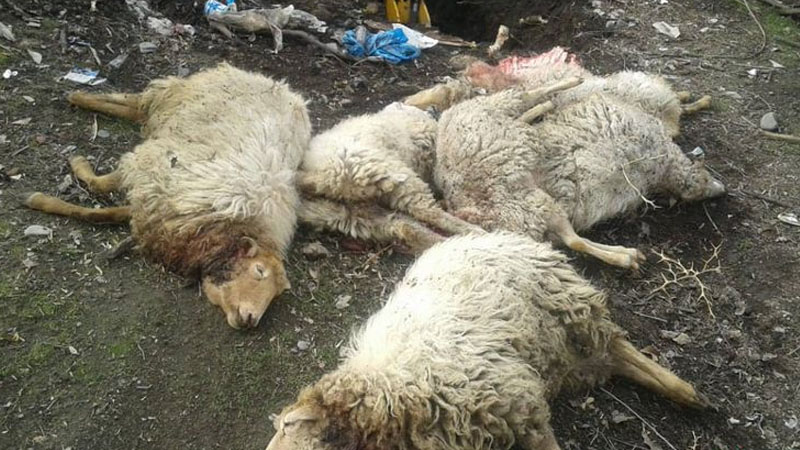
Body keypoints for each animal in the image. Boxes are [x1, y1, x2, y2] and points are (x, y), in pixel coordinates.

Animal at [24, 63, 310, 329]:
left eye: (276, 295)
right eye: (258, 271)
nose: (251, 320)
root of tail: (270, 80)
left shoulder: (160, 214)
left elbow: (103, 214)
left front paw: (46, 200)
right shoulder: (157, 170)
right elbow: (99, 186)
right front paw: (59, 181)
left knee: (136, 110)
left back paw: (79, 96)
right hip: (174, 100)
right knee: (137, 101)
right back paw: (79, 96)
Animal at [265, 232, 708, 450]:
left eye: (289, 426)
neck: (389, 392)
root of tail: (485, 233)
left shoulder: (521, 409)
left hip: (570, 311)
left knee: (619, 347)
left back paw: (689, 394)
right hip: (563, 352)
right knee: (615, 358)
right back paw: (688, 395)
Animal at [297, 101, 481, 253]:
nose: (433, 108)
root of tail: (323, 181)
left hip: (351, 215)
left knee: (403, 226)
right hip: (394, 175)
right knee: (429, 212)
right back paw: (473, 230)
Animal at [433, 78, 726, 270]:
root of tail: (465, 207)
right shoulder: (664, 154)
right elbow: (692, 182)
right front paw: (716, 186)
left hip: (528, 211)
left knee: (569, 239)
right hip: (534, 200)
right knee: (573, 240)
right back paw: (626, 256)